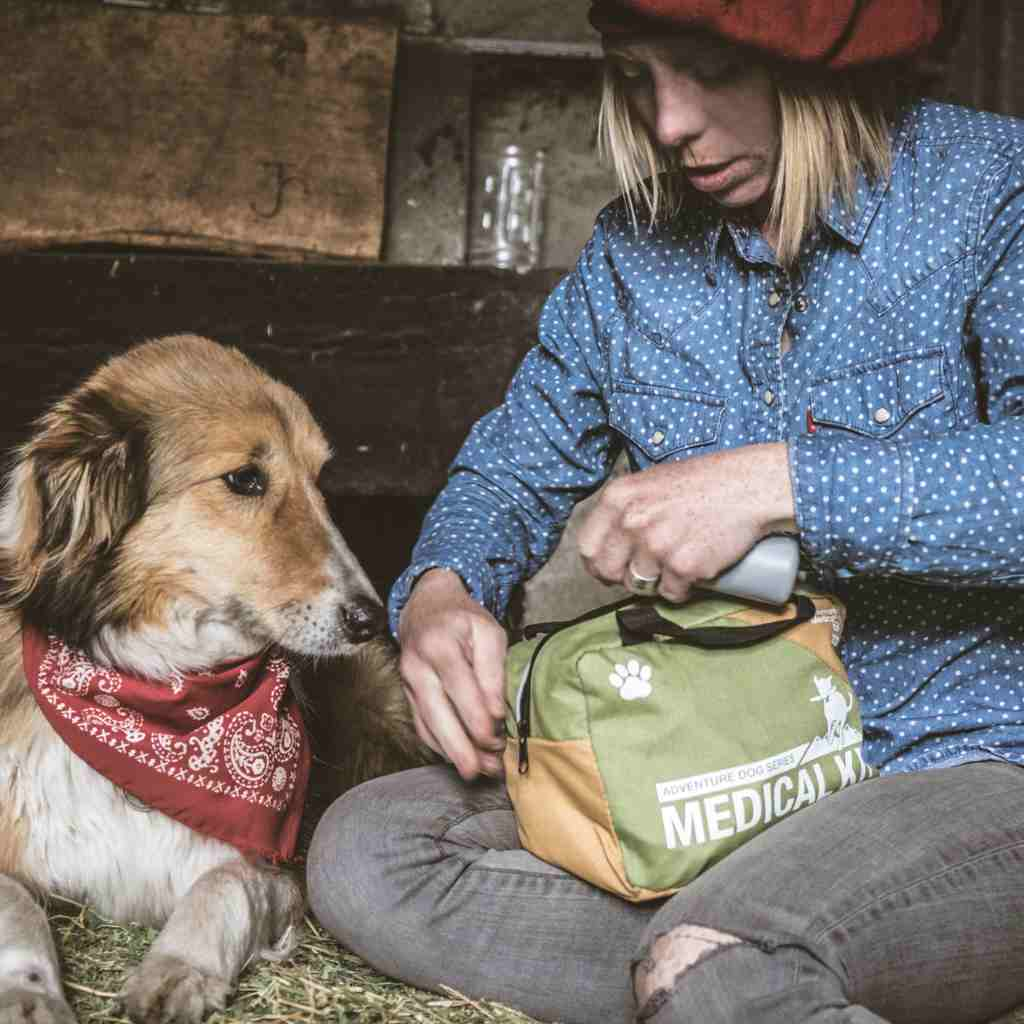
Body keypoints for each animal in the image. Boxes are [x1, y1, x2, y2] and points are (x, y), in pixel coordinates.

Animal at [0, 335, 428, 1024]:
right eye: (244, 479)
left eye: (318, 479)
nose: (369, 617)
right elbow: (14, 907)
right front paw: (27, 994)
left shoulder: (272, 868)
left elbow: (222, 887)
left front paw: (178, 970)